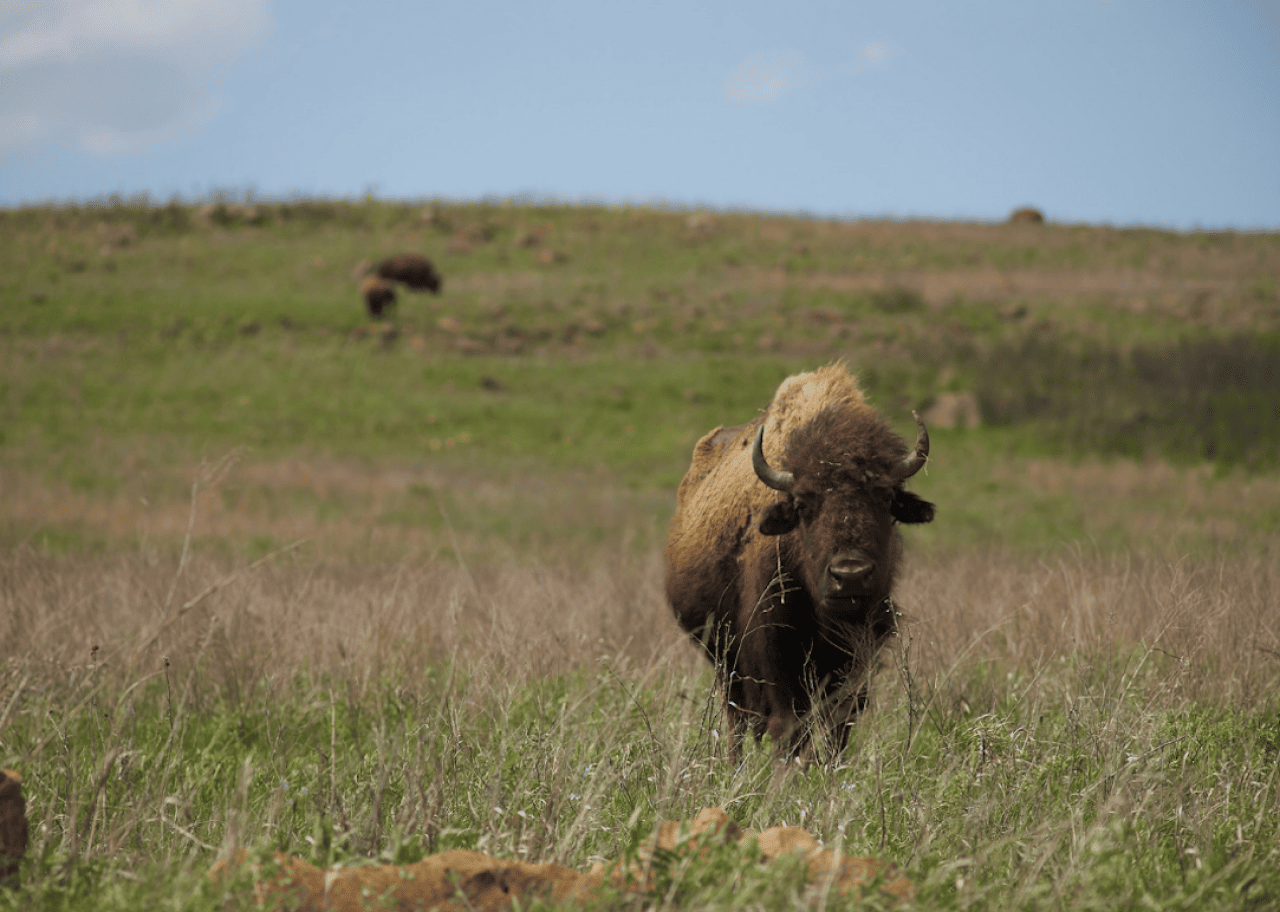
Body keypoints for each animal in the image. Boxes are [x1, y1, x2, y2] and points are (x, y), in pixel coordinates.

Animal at [664, 364, 935, 761]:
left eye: (886, 497)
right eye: (804, 504)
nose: (849, 575)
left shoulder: (860, 655)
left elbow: (839, 726)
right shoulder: (776, 653)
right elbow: (789, 725)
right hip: (725, 659)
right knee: (737, 719)